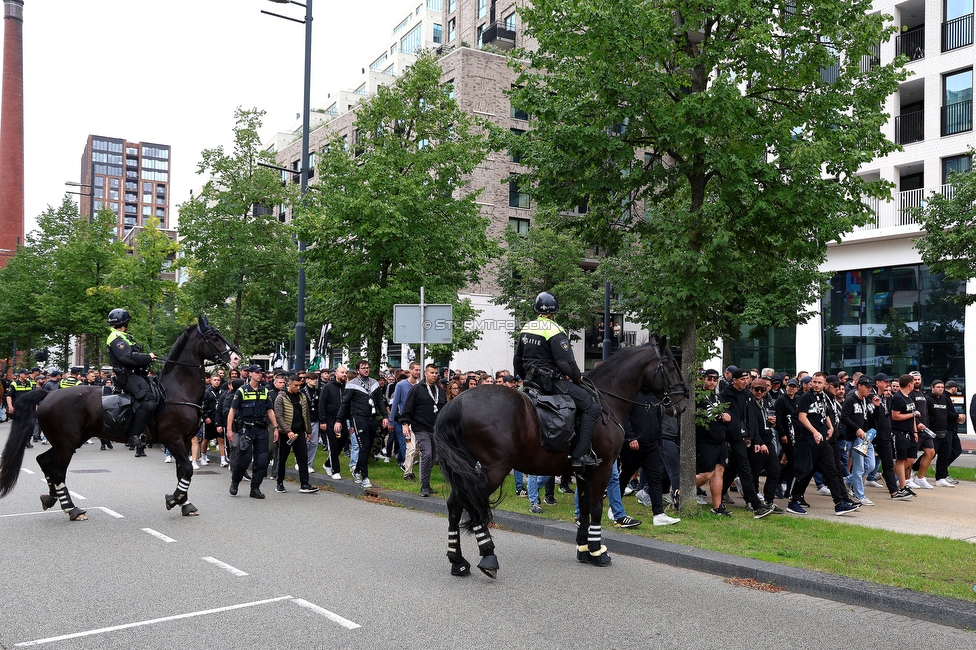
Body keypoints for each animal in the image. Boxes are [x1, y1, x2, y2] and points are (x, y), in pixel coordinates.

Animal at [0, 314, 236, 516]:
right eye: (213, 336)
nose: (236, 358)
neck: (176, 390)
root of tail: (48, 394)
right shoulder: (174, 439)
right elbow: (187, 469)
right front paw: (173, 499)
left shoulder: (186, 440)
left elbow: (182, 471)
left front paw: (184, 503)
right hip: (66, 443)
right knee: (57, 471)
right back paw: (72, 509)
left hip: (67, 441)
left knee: (46, 462)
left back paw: (51, 499)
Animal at [434, 334, 688, 576]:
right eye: (672, 366)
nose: (683, 404)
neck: (608, 400)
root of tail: (456, 403)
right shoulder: (603, 468)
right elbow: (596, 507)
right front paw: (598, 552)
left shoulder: (584, 471)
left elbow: (584, 508)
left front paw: (584, 550)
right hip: (494, 470)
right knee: (471, 504)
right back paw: (488, 557)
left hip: (468, 470)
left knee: (456, 504)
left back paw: (458, 561)